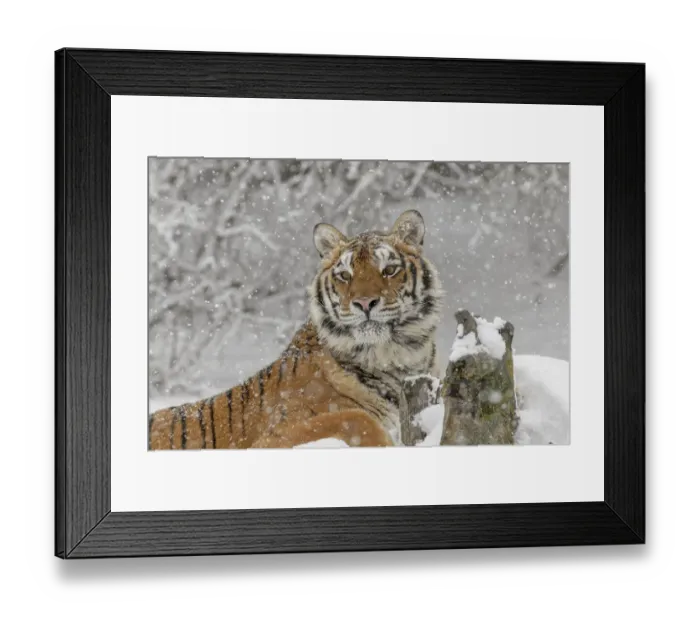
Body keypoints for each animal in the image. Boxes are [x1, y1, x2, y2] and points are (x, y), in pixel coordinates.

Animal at [148, 209, 443, 450]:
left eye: (389, 270)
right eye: (344, 275)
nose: (364, 303)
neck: (397, 358)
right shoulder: (272, 436)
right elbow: (352, 417)